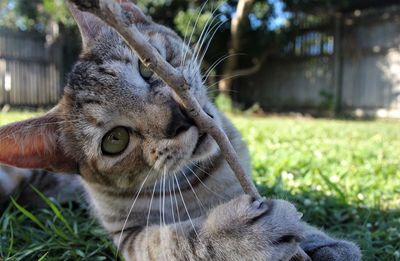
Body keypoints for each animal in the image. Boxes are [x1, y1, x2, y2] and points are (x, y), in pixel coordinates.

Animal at [0, 1, 362, 258]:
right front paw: (239, 236)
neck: (201, 178)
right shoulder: (129, 237)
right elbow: (176, 240)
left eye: (147, 66)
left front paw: (321, 241)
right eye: (115, 140)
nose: (178, 117)